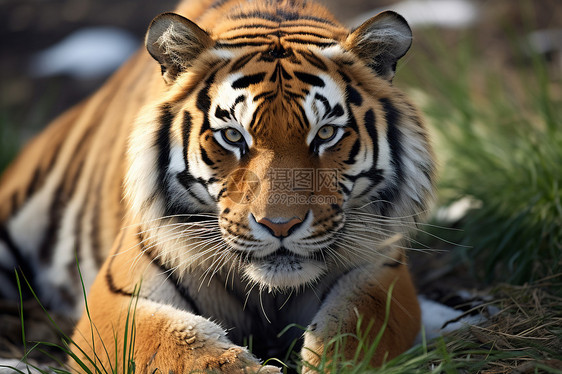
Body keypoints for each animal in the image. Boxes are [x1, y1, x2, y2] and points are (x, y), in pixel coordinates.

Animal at [0, 0, 434, 370]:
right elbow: (180, 346)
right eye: (233, 136)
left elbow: (353, 332)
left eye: (325, 133)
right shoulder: (118, 299)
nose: (280, 226)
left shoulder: (380, 267)